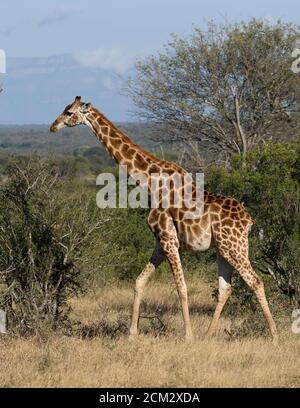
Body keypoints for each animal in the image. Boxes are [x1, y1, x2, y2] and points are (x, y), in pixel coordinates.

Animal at [50, 97, 278, 342]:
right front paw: (132, 334)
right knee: (226, 288)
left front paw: (188, 336)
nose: (53, 126)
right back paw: (208, 335)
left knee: (255, 281)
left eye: (69, 112)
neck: (149, 182)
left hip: (234, 246)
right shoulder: (160, 243)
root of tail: (249, 220)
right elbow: (139, 282)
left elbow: (181, 287)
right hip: (222, 249)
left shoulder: (169, 240)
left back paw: (274, 335)